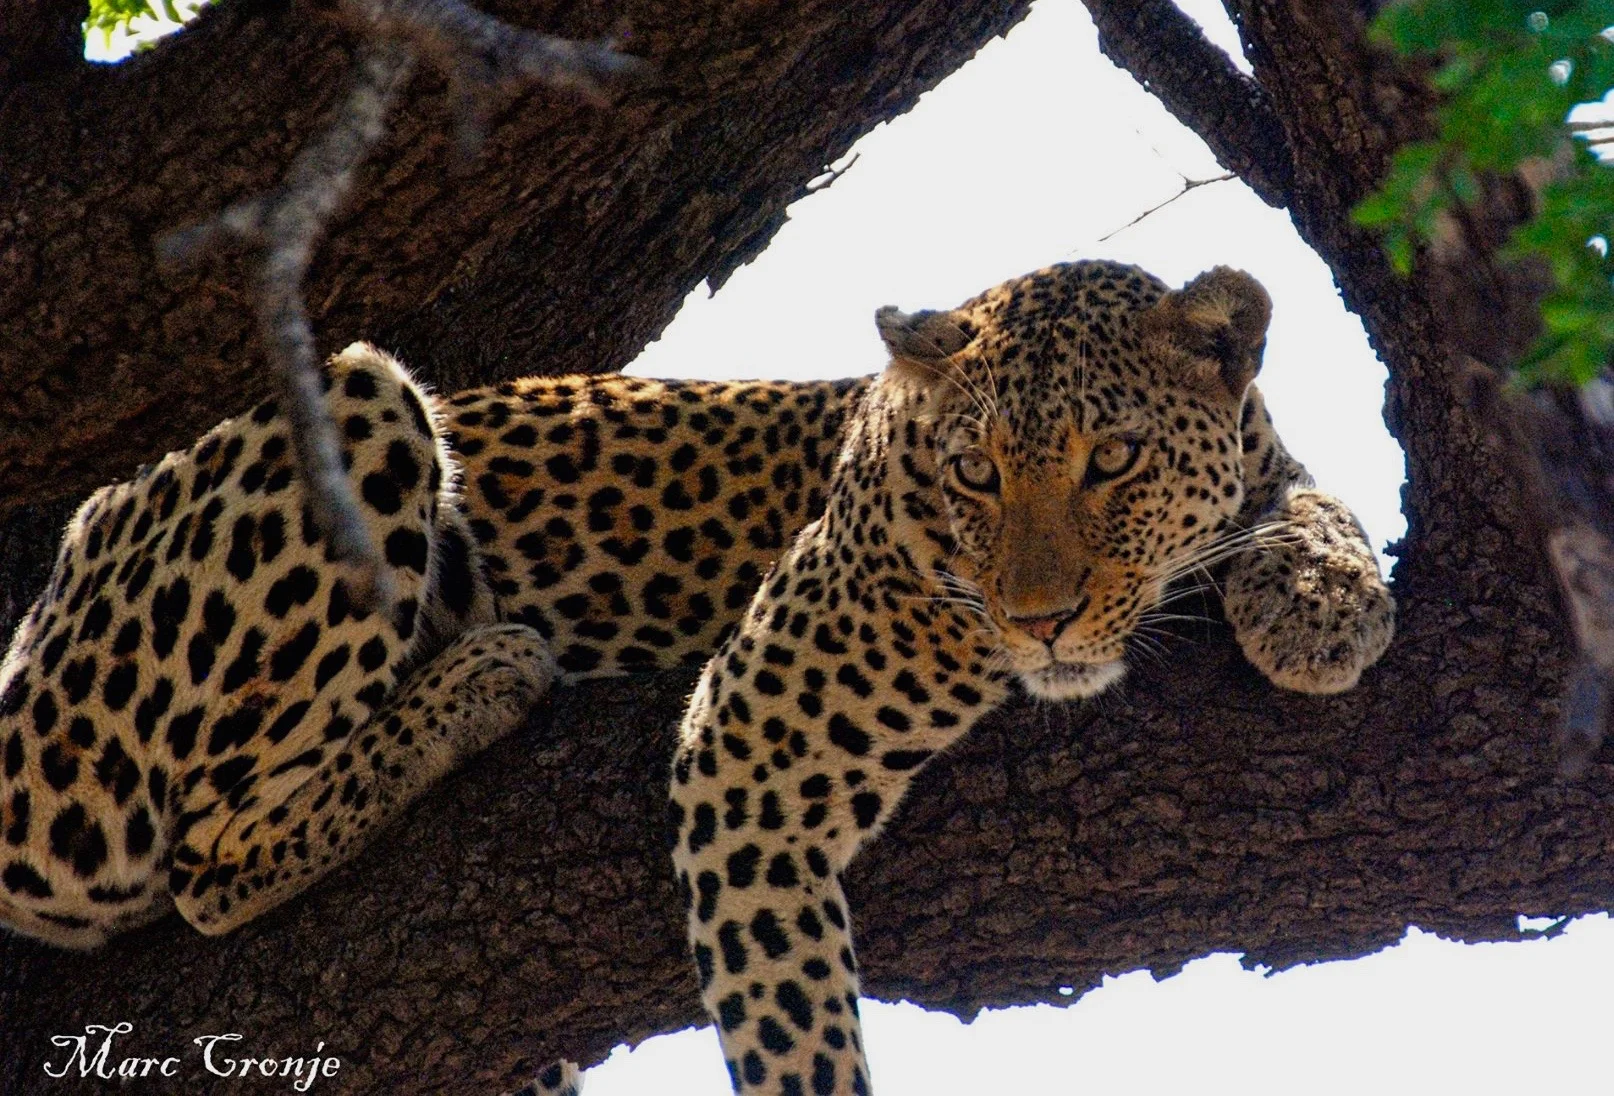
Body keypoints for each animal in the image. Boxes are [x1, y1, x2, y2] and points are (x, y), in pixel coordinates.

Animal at [0, 259, 1391, 1093]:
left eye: (1114, 460)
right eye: (976, 472)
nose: (1038, 621)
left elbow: (1306, 494)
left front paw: (1321, 601)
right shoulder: (758, 738)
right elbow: (791, 1015)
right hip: (348, 403)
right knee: (205, 857)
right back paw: (482, 673)